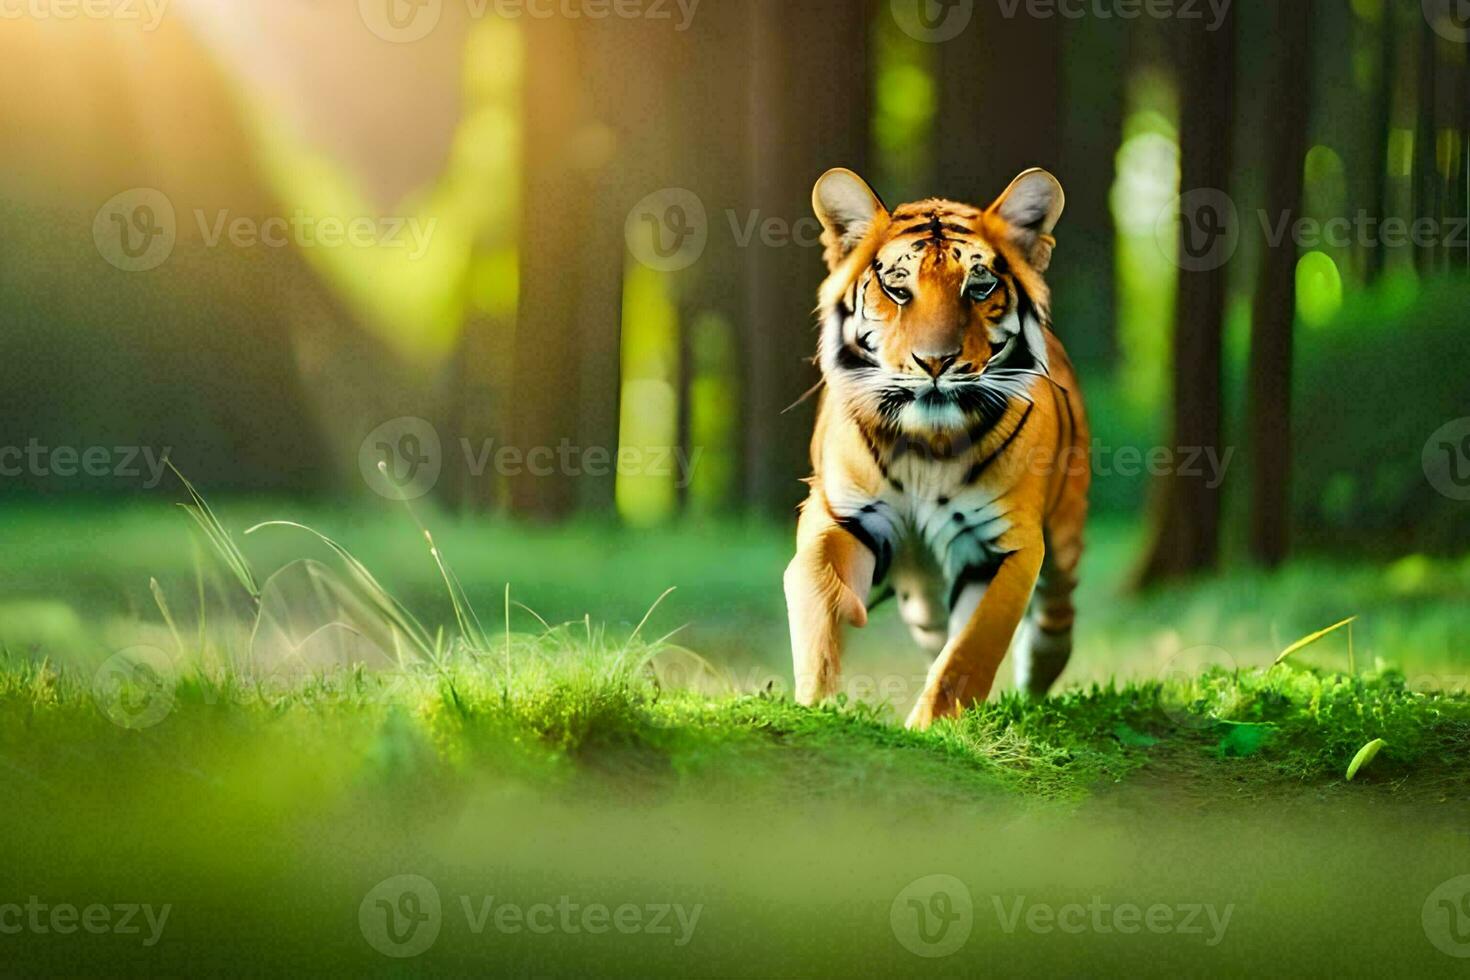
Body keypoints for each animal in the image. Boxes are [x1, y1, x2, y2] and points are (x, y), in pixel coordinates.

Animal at [782, 166, 1093, 728]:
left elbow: (969, 649)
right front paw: (821, 703)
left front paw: (932, 725)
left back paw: (1038, 679)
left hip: (1063, 541)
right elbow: (818, 600)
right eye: (896, 289)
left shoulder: (1004, 546)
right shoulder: (841, 515)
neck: (925, 446)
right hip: (922, 600)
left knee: (1054, 620)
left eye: (980, 286)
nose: (934, 361)